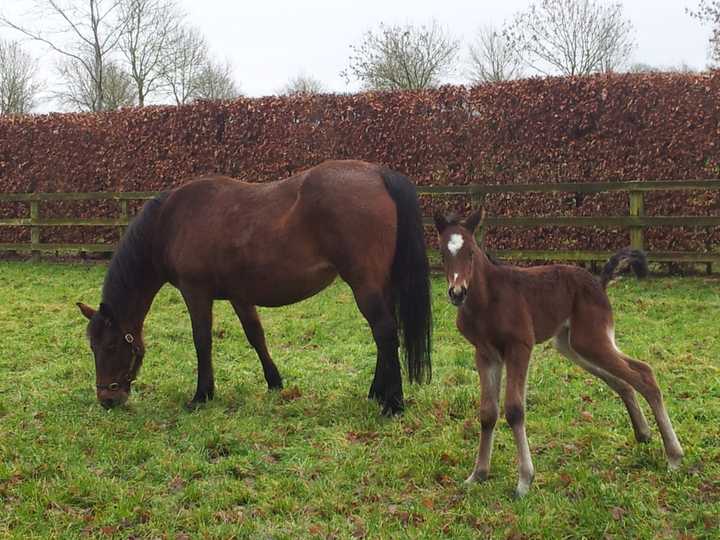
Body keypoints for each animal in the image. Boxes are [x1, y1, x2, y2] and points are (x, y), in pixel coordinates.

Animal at [77, 159, 434, 414]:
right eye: (91, 347)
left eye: (111, 346)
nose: (107, 399)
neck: (171, 222)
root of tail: (377, 174)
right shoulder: (240, 296)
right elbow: (255, 336)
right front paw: (274, 382)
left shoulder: (196, 292)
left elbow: (202, 341)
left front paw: (202, 395)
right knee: (386, 333)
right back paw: (377, 393)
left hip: (364, 283)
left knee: (384, 331)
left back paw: (392, 404)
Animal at [436, 211, 684, 498]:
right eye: (442, 253)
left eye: (471, 253)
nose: (457, 292)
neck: (488, 300)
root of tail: (598, 283)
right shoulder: (485, 354)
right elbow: (488, 412)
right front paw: (478, 474)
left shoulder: (519, 347)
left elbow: (514, 409)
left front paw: (524, 481)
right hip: (573, 345)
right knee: (622, 380)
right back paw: (644, 434)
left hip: (591, 340)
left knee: (644, 373)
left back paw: (674, 456)